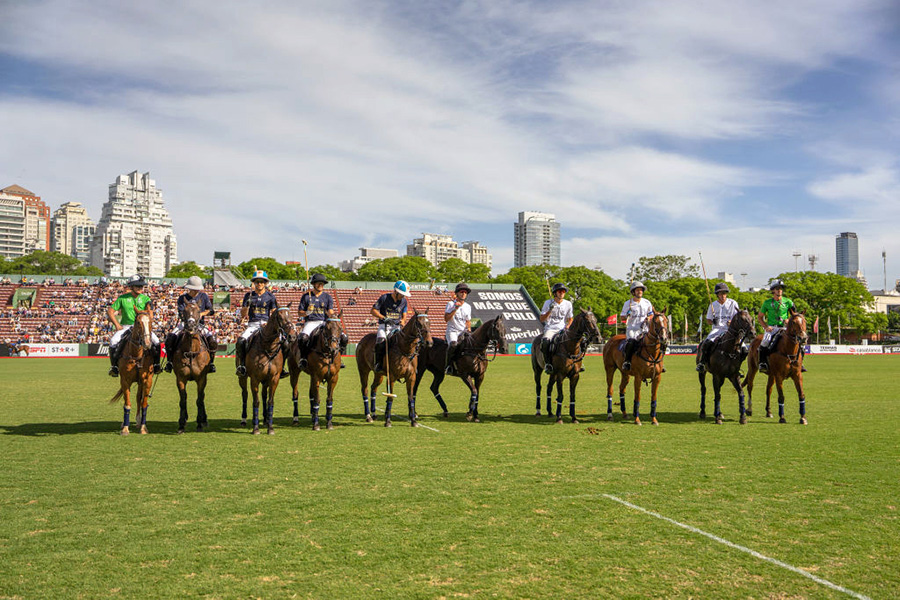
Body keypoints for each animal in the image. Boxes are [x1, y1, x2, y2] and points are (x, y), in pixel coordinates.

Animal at [171, 302, 213, 433]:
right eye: (184, 310)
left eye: (198, 311)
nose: (190, 325)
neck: (191, 352)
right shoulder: (180, 379)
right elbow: (183, 400)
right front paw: (181, 423)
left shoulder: (202, 379)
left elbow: (199, 399)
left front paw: (199, 423)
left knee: (202, 397)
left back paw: (204, 420)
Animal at [238, 305, 295, 434]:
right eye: (280, 317)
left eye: (291, 315)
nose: (292, 336)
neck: (268, 347)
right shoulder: (254, 378)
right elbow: (256, 401)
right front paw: (255, 429)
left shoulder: (274, 378)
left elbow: (270, 401)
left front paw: (270, 428)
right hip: (242, 377)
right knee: (245, 394)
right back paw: (244, 420)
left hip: (265, 381)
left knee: (264, 395)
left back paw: (264, 419)